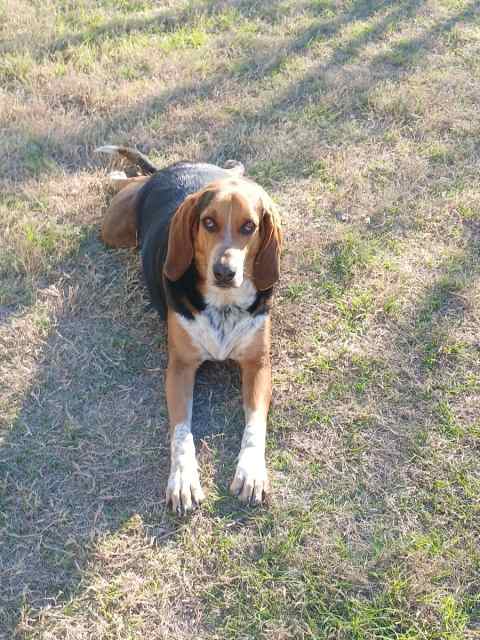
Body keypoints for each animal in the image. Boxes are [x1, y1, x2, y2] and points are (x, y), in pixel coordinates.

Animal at [96, 145, 282, 516]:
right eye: (208, 223)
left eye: (249, 226)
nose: (224, 272)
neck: (223, 305)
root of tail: (171, 169)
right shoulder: (180, 368)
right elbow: (181, 432)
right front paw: (183, 479)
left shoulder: (258, 365)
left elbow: (255, 424)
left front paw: (251, 471)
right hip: (115, 228)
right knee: (127, 182)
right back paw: (118, 174)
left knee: (233, 172)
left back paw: (233, 166)